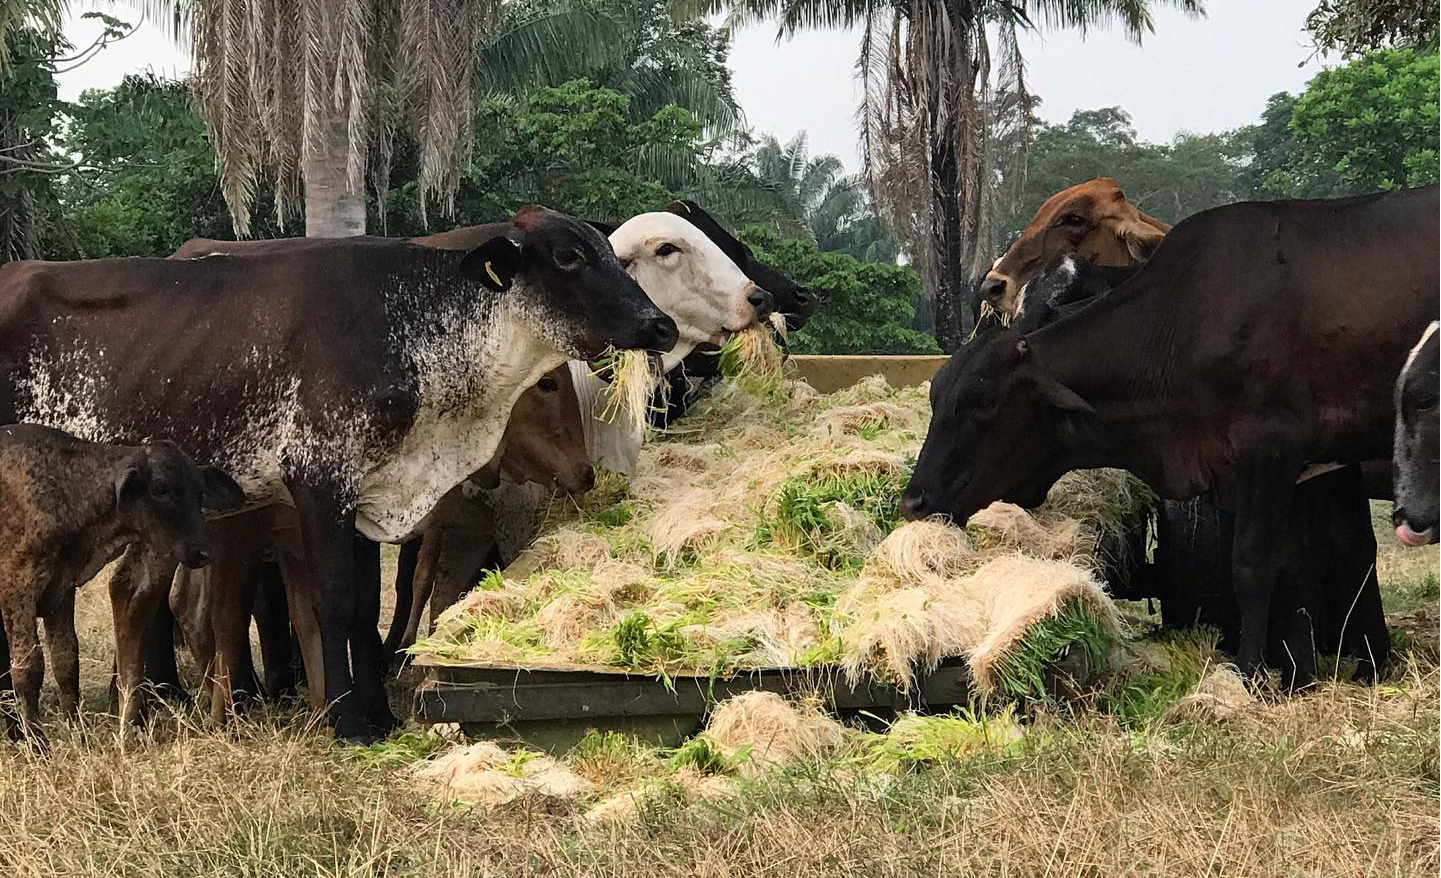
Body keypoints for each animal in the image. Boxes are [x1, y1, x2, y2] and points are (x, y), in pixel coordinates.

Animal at [0, 423, 242, 738]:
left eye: (200, 492)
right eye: (161, 488)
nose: (203, 551)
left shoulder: (61, 590)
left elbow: (66, 661)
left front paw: (78, 732)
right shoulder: (17, 588)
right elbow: (28, 667)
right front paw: (37, 741)